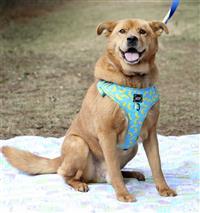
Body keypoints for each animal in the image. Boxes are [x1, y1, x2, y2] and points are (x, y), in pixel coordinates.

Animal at [1, 18, 177, 201]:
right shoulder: (107, 133)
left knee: (113, 172)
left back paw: (132, 173)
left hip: (132, 147)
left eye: (143, 31)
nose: (131, 39)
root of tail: (61, 159)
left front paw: (164, 189)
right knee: (66, 174)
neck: (133, 82)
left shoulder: (150, 133)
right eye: (122, 31)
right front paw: (122, 194)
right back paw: (79, 184)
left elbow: (157, 165)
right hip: (79, 144)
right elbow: (114, 169)